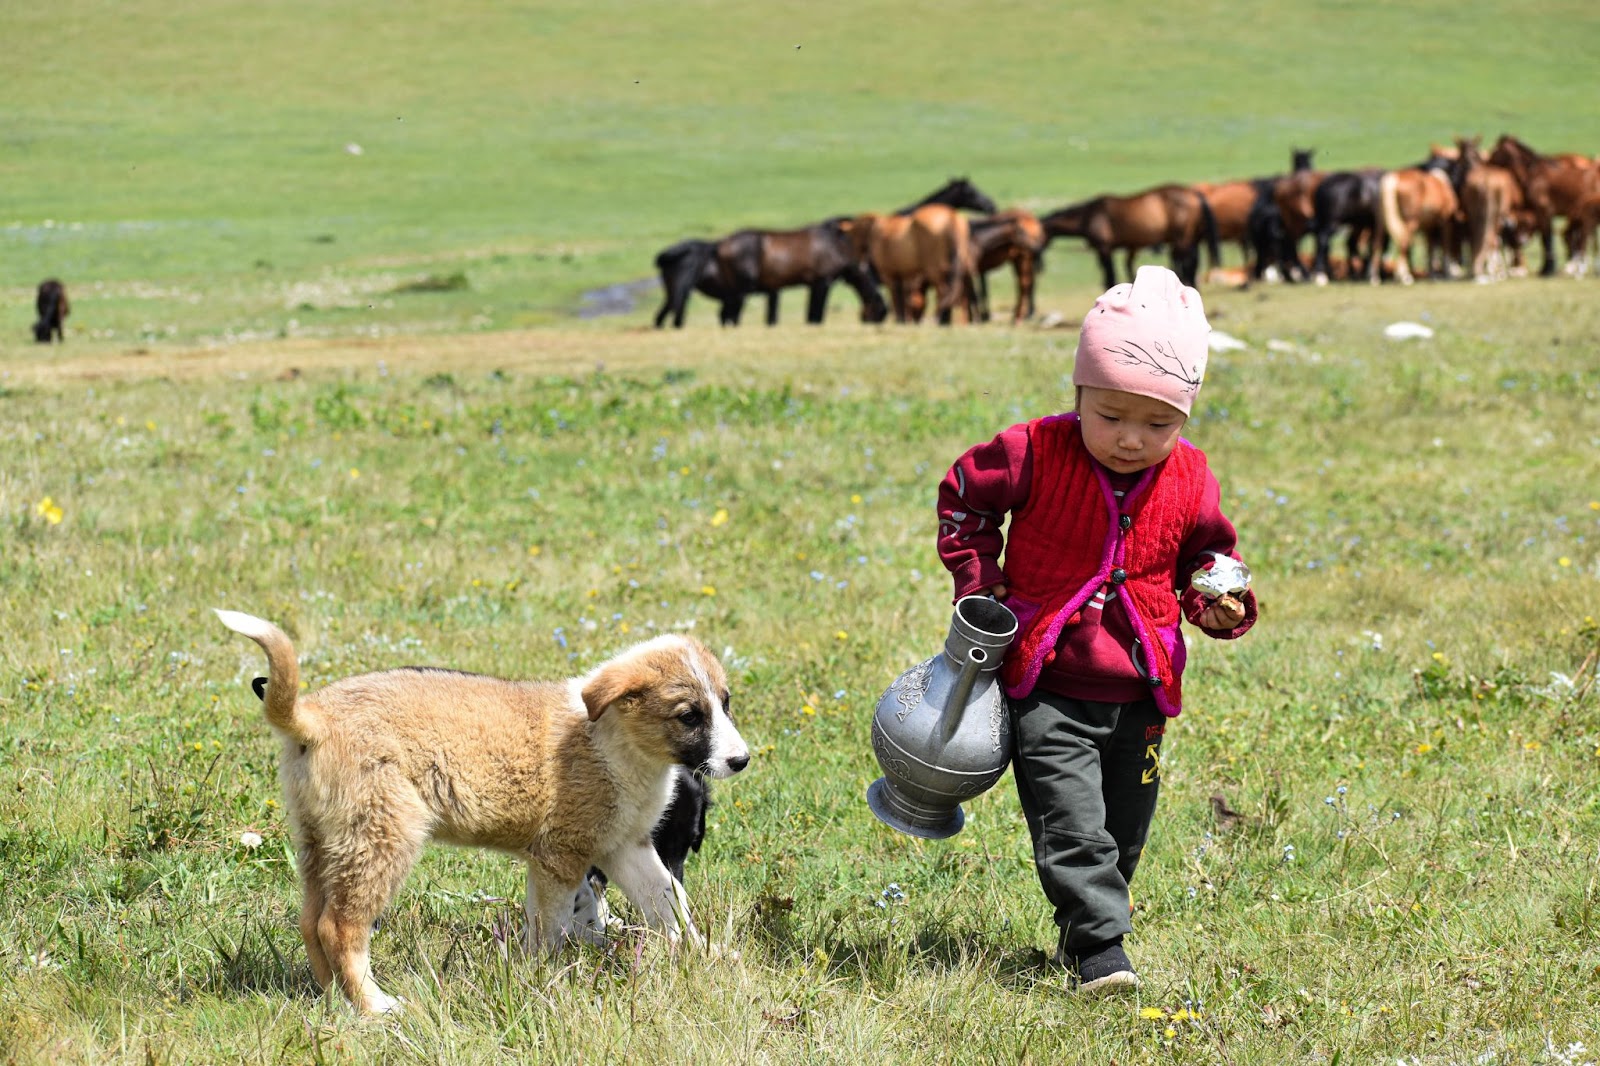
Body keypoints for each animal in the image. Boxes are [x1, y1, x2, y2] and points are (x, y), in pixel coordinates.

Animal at [211, 605, 748, 1011]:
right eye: (689, 716)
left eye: (725, 703)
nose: (741, 760)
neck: (622, 743)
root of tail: (311, 717)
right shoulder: (561, 856)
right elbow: (553, 925)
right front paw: (544, 976)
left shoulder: (625, 846)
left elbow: (668, 902)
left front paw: (704, 954)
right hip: (382, 835)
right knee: (338, 926)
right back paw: (375, 1007)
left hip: (320, 840)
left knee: (310, 920)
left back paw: (335, 1001)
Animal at [1036, 184, 1209, 288]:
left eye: (1038, 236)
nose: (1039, 267)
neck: (1089, 216)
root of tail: (1193, 193)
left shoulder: (1104, 249)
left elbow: (1110, 275)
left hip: (1181, 239)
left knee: (1187, 262)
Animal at [1484, 133, 1600, 273]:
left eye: (1496, 150)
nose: (1485, 163)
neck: (1534, 174)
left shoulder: (1543, 212)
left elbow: (1546, 239)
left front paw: (1548, 269)